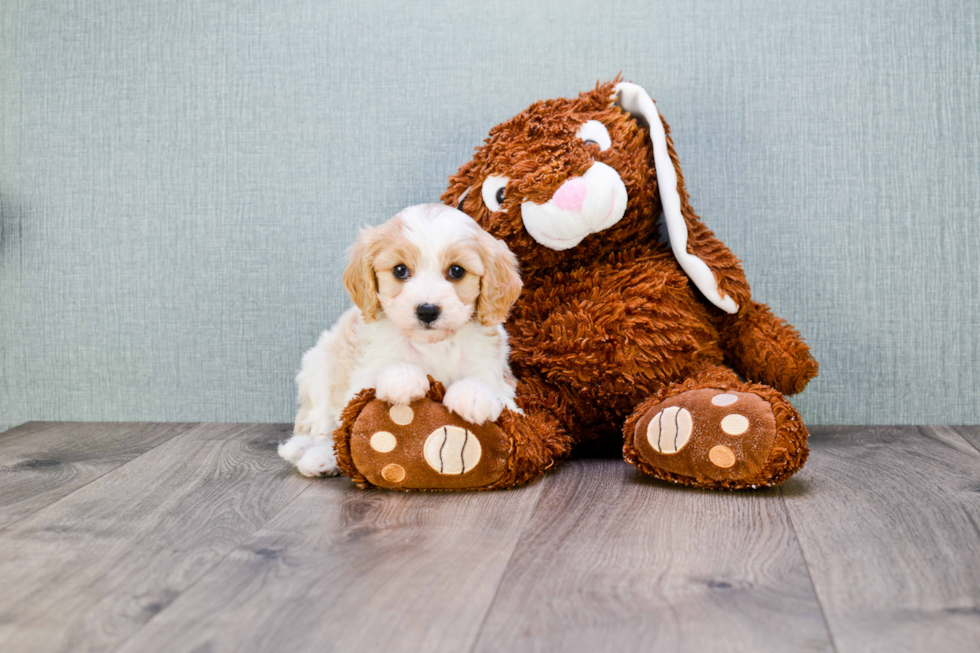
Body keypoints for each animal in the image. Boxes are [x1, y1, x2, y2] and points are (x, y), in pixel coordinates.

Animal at [280, 201, 524, 476]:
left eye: (457, 271)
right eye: (400, 270)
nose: (427, 310)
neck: (433, 345)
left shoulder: (503, 383)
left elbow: (488, 384)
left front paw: (473, 395)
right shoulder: (362, 374)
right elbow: (383, 374)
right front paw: (404, 379)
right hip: (319, 370)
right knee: (324, 427)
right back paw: (320, 458)